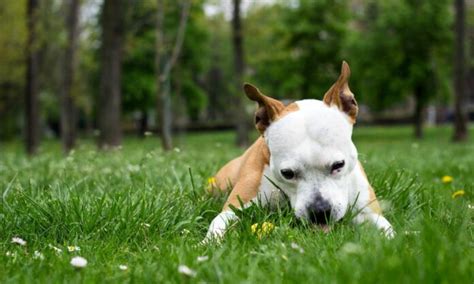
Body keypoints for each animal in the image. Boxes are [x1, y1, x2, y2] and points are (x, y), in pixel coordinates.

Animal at [206, 62, 394, 242]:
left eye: (339, 165)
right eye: (287, 173)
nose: (320, 211)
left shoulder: (369, 213)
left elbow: (388, 233)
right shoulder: (235, 207)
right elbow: (218, 222)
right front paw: (207, 243)